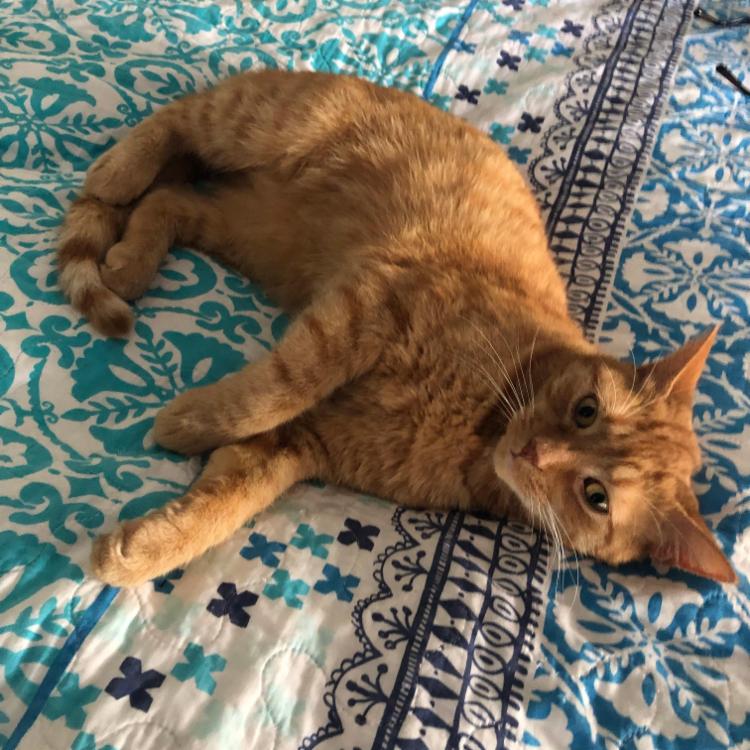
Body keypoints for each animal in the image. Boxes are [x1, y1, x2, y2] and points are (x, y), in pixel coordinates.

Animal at [57, 69, 736, 587]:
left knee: (167, 201)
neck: (478, 427)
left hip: (252, 230)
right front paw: (188, 421)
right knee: (174, 125)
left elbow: (222, 506)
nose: (533, 452)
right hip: (265, 123)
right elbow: (272, 390)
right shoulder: (366, 309)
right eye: (587, 410)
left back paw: (131, 260)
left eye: (596, 496)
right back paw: (117, 178)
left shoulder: (300, 444)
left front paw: (140, 550)